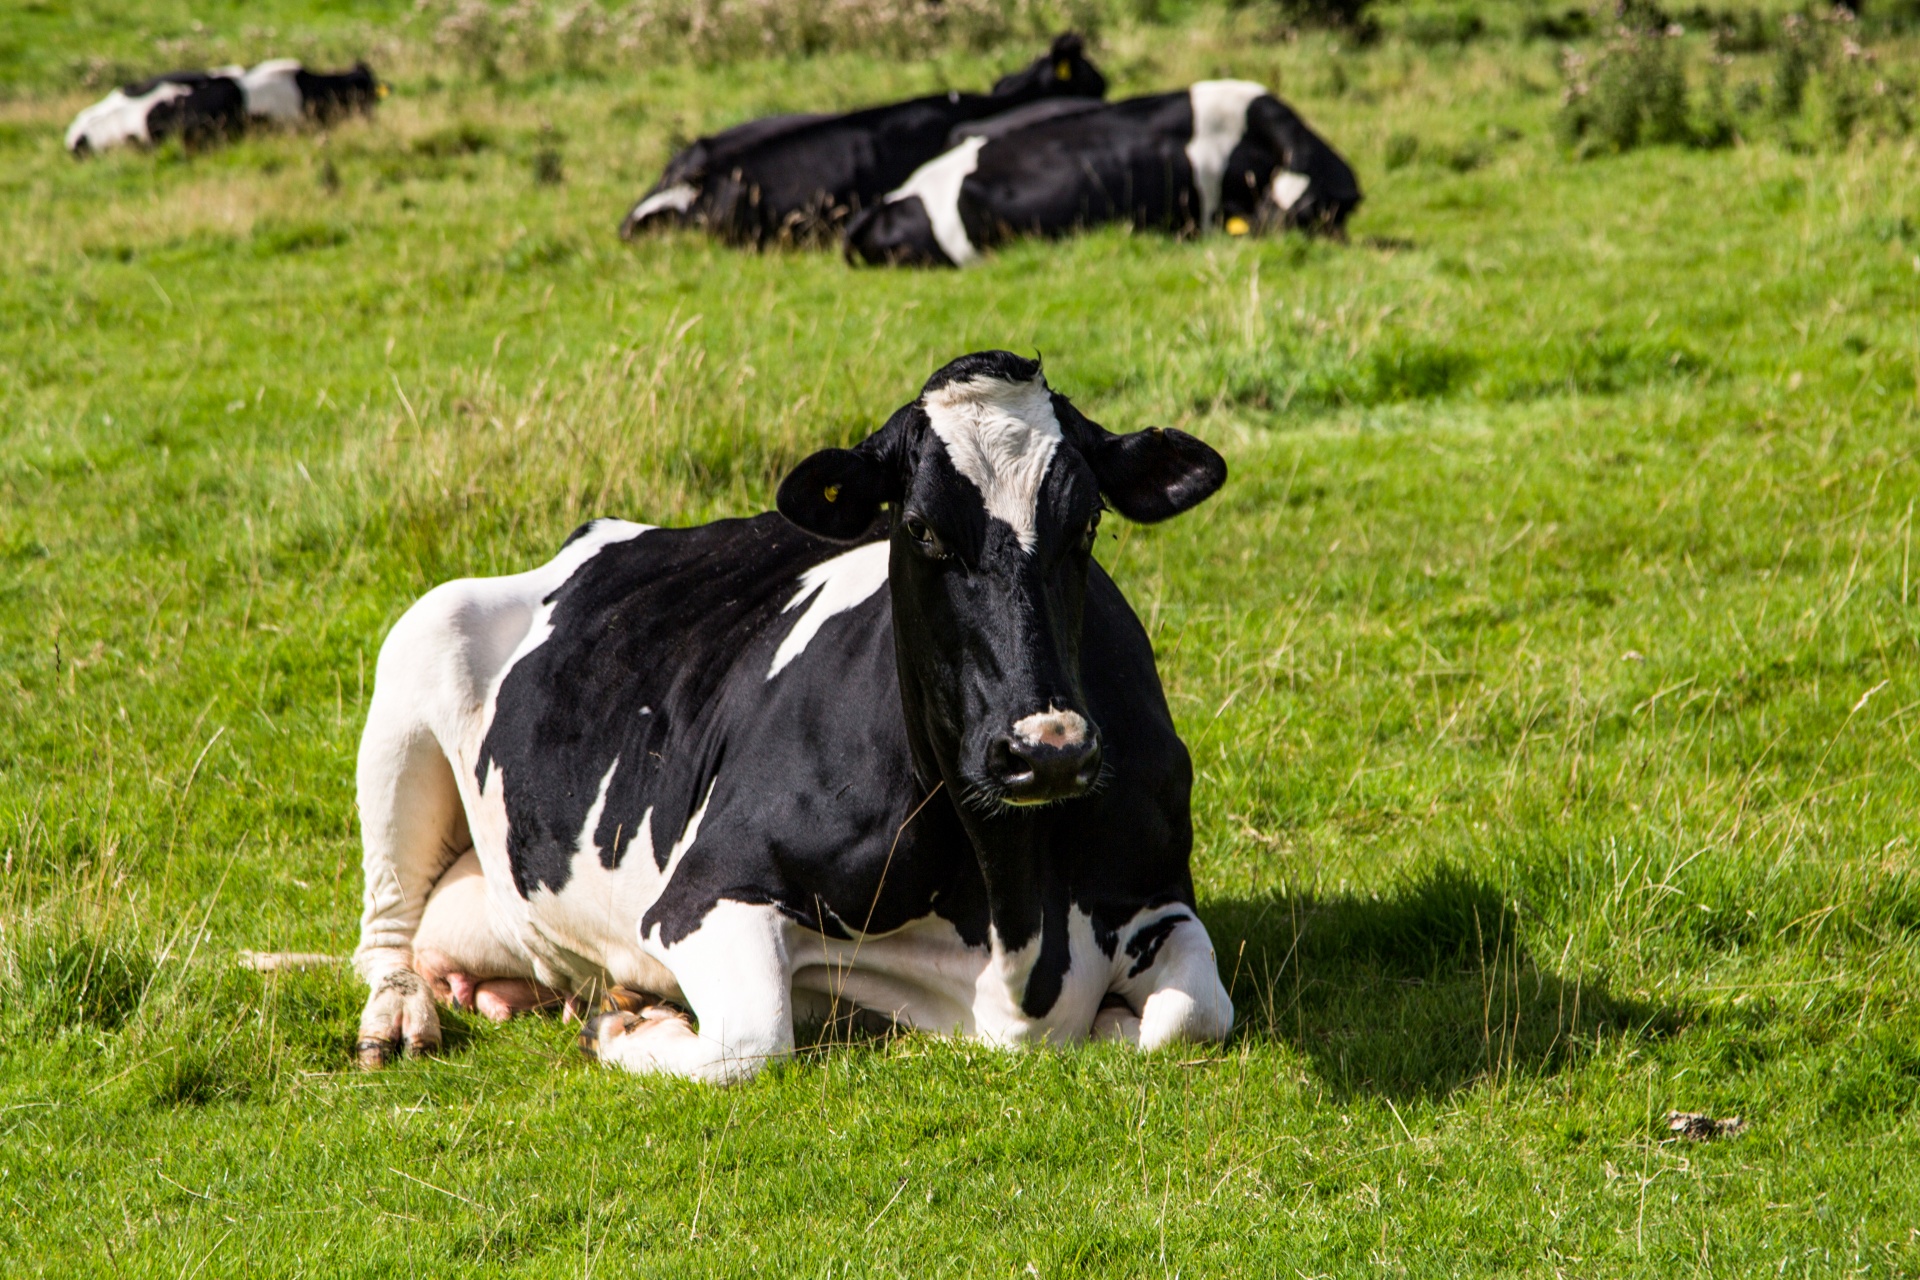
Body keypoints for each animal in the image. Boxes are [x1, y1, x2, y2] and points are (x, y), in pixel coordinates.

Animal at [353, 347, 1236, 1082]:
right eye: (919, 528)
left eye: (1086, 523)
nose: (1047, 750)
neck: (1017, 919)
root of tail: (597, 535)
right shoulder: (700, 894)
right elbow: (751, 1040)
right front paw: (628, 1026)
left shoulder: (1158, 895)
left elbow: (1194, 1016)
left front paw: (1120, 1021)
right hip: (417, 648)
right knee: (385, 924)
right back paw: (399, 1016)